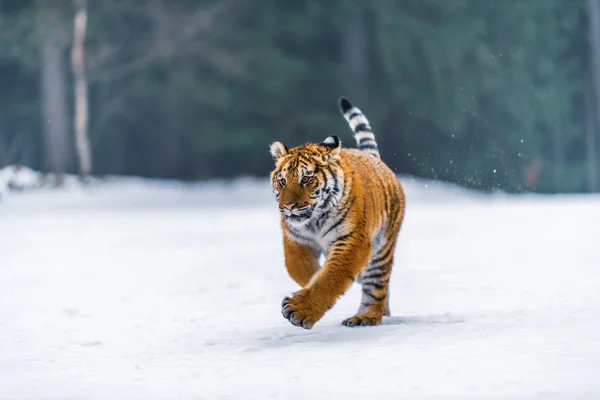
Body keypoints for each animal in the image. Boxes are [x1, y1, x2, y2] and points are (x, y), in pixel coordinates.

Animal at [270, 96, 406, 328]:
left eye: (306, 179)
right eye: (283, 181)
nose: (288, 206)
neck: (313, 221)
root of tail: (374, 159)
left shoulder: (352, 241)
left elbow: (330, 278)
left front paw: (299, 310)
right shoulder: (296, 239)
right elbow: (300, 269)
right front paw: (310, 280)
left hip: (382, 248)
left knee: (376, 286)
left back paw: (366, 316)